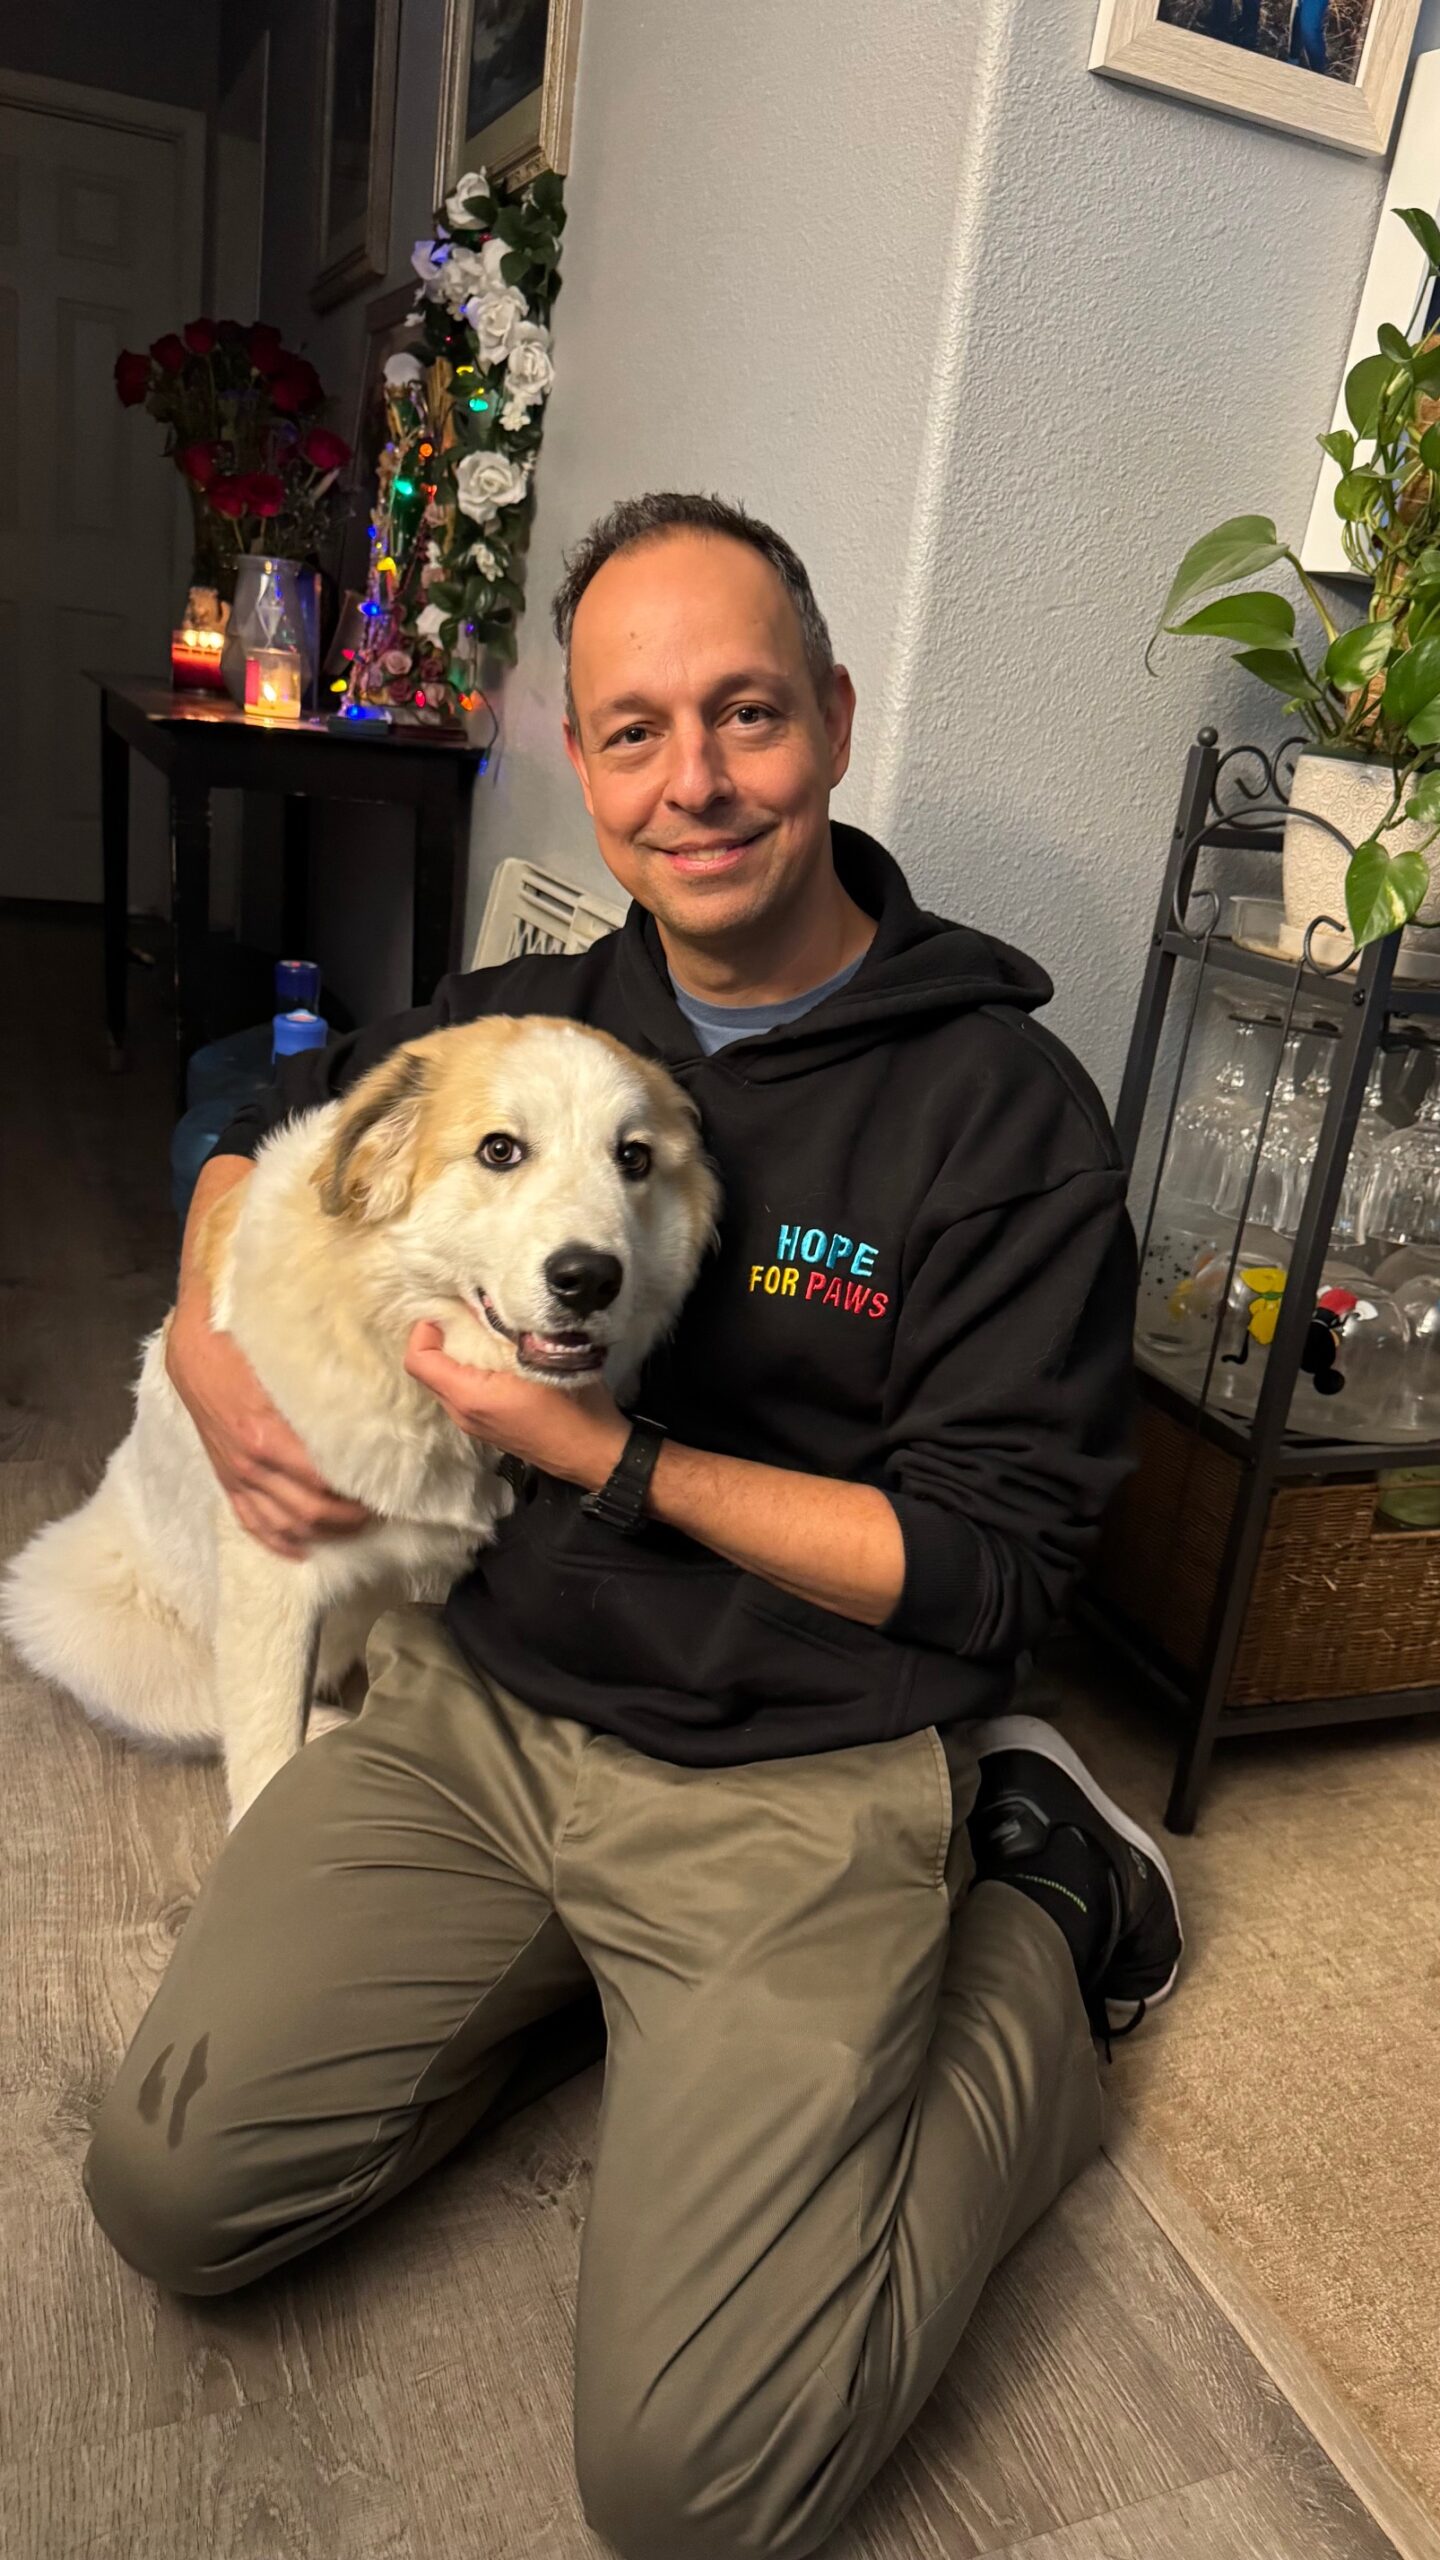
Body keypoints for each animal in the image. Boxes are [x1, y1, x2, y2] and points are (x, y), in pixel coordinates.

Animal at [0, 1008, 717, 1832]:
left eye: (633, 1158)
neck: (385, 1333)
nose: (590, 1278)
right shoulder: (272, 1582)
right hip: (70, 1610)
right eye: (500, 1150)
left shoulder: (435, 1575)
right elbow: (263, 1752)